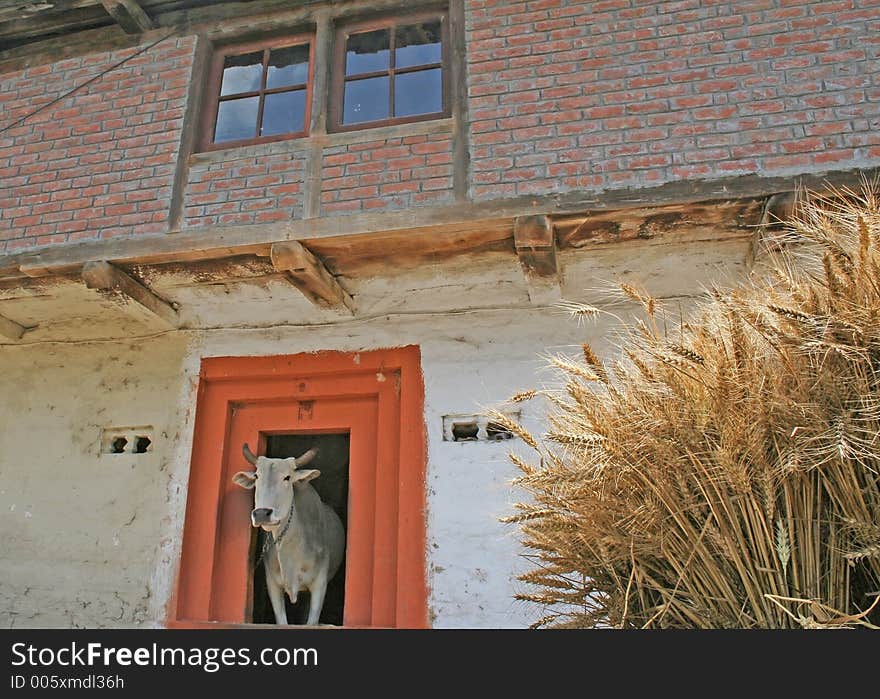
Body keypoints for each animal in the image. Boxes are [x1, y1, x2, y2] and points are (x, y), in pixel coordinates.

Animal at [232, 446, 346, 628]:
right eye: (257, 476)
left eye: (287, 477)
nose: (261, 514)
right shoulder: (272, 584)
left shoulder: (320, 585)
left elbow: (311, 622)